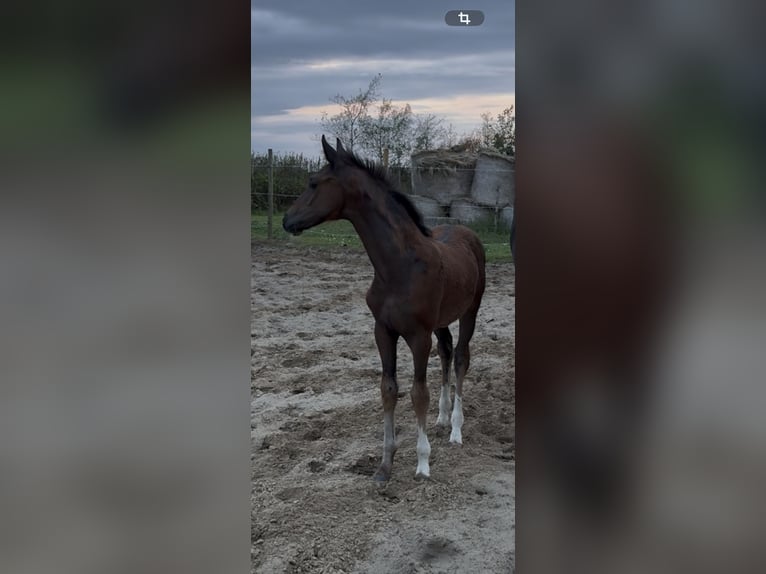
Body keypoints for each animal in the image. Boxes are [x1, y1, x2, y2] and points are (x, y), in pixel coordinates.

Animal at [283, 136, 486, 482]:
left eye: (313, 182)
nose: (287, 220)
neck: (399, 267)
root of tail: (467, 232)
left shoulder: (418, 336)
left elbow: (418, 393)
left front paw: (422, 464)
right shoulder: (383, 330)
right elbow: (388, 389)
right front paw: (385, 465)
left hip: (469, 311)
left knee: (460, 358)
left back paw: (456, 430)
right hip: (441, 321)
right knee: (446, 353)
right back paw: (443, 419)